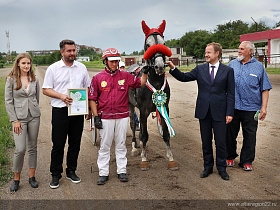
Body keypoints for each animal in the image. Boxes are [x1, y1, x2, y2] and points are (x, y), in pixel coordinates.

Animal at [128, 20, 178, 171]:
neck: (155, 82)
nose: (160, 66)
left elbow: (166, 133)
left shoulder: (164, 107)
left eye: (164, 43)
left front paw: (171, 159)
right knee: (133, 124)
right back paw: (134, 146)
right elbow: (144, 135)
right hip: (131, 105)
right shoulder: (143, 110)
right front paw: (144, 159)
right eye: (148, 45)